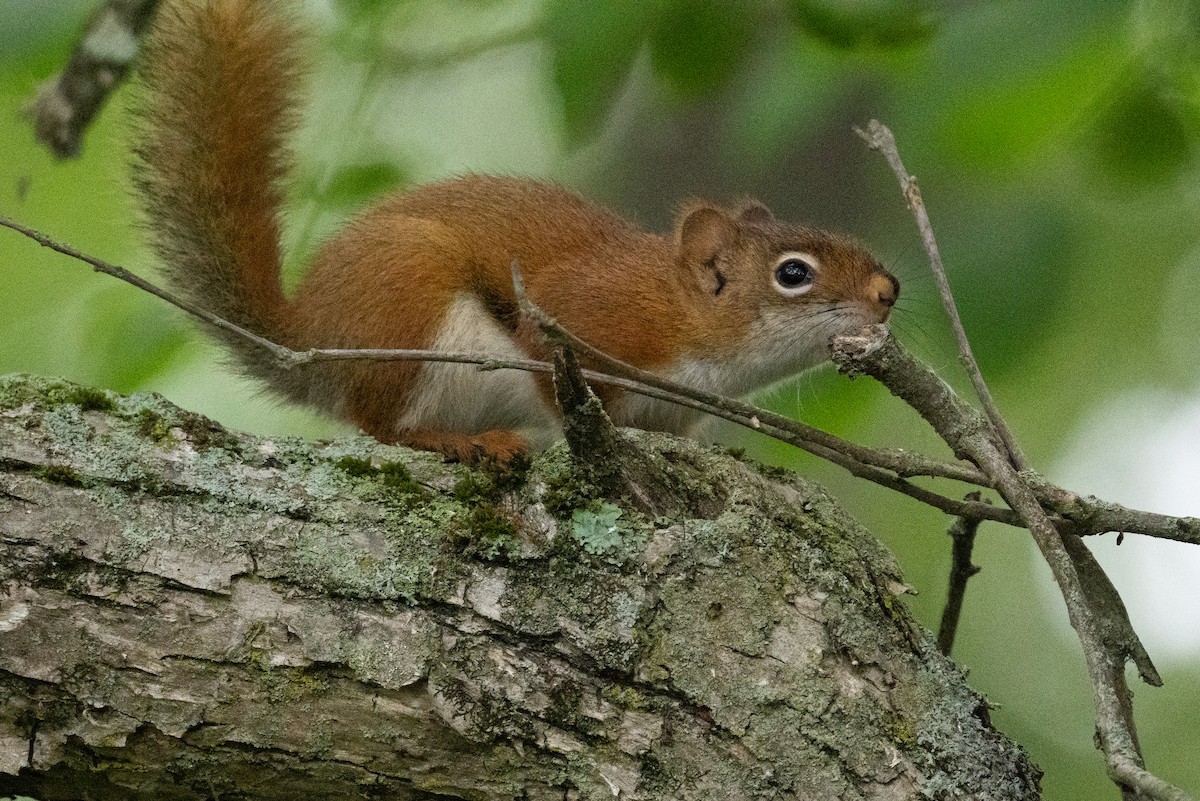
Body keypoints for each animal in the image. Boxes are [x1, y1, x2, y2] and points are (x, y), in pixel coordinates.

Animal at [133, 0, 899, 463]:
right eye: (793, 273)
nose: (889, 291)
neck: (683, 317)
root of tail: (311, 341)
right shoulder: (591, 316)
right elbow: (558, 378)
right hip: (411, 311)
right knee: (382, 425)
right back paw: (459, 440)